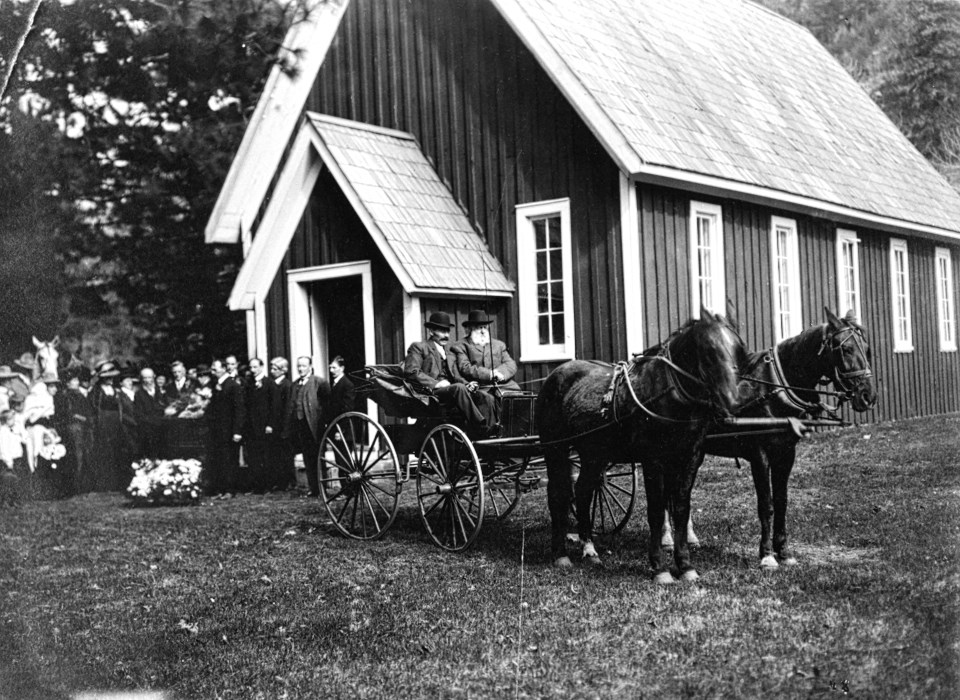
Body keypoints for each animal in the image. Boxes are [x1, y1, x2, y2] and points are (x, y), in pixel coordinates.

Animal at [536, 308, 748, 584]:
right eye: (709, 350)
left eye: (739, 349)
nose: (733, 401)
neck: (669, 393)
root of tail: (556, 374)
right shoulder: (653, 460)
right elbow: (657, 511)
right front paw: (659, 568)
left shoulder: (689, 458)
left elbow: (681, 509)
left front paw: (686, 565)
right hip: (555, 449)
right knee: (558, 493)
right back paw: (560, 554)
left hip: (594, 454)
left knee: (583, 491)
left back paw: (589, 549)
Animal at [704, 310, 876, 568]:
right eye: (845, 349)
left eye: (866, 349)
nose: (868, 396)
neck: (773, 387)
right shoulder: (760, 454)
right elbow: (766, 504)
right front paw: (766, 554)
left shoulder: (786, 453)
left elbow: (782, 501)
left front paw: (783, 551)